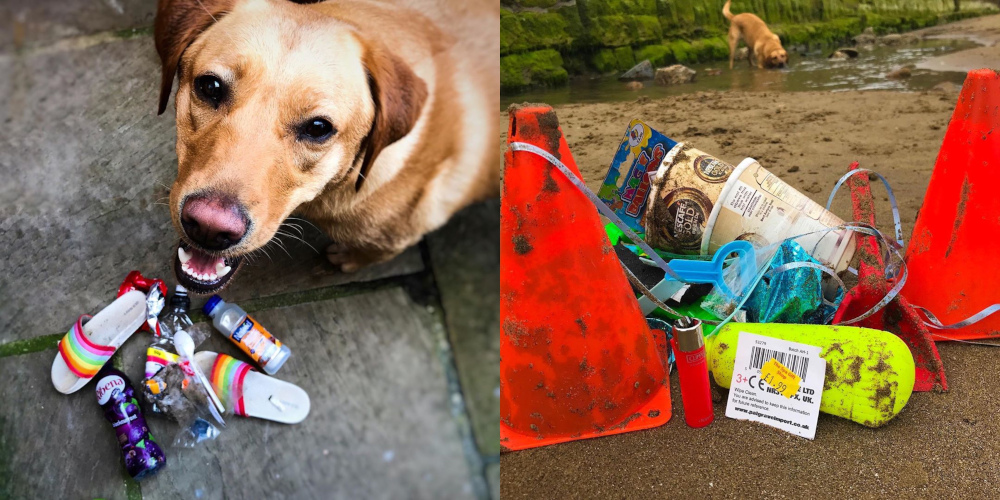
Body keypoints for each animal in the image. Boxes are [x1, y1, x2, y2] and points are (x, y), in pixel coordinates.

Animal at [156, 0, 500, 292]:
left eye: (318, 128)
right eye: (210, 86)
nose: (209, 227)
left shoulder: (398, 234)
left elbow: (374, 252)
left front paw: (349, 259)